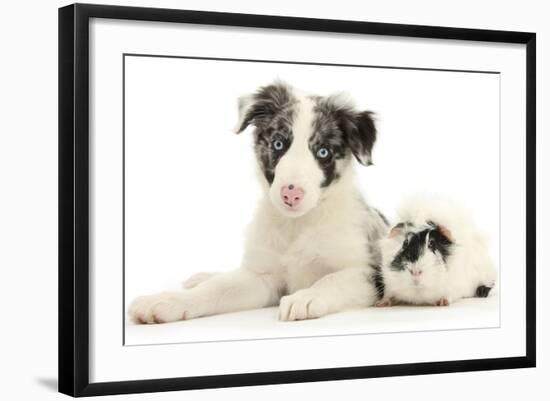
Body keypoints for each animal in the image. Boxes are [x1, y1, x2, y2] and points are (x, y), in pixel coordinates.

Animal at [129, 80, 388, 322]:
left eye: (323, 152)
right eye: (278, 144)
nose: (291, 194)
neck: (297, 224)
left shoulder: (368, 273)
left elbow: (332, 279)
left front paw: (305, 297)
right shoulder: (262, 277)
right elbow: (217, 289)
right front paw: (169, 301)